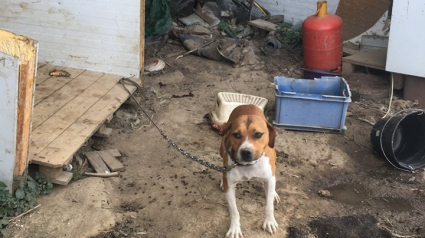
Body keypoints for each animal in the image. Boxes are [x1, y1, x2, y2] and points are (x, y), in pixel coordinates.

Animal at [220, 105, 280, 237]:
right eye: (236, 135)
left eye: (258, 134)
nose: (245, 152)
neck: (249, 165)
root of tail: (247, 105)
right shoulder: (230, 187)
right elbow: (234, 210)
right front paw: (235, 228)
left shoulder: (269, 177)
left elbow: (269, 206)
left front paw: (269, 221)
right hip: (222, 150)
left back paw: (273, 193)